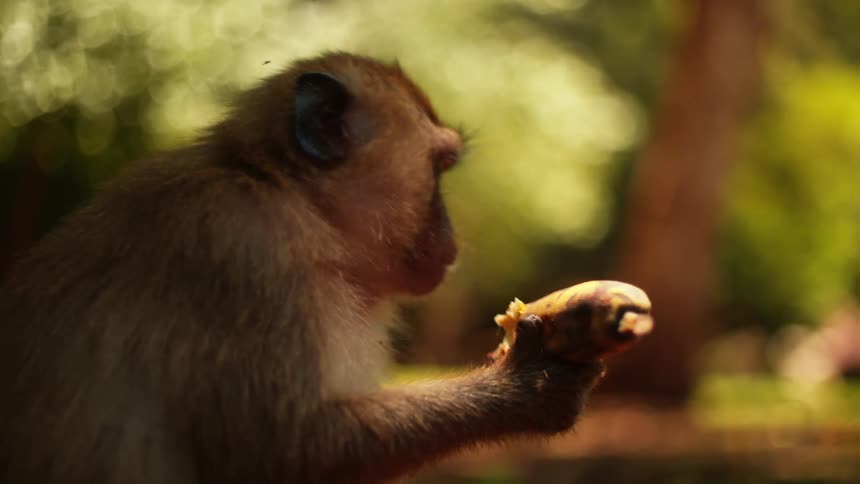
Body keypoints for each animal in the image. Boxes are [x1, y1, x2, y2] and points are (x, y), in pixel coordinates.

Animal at [0, 53, 605, 484]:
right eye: (437, 168)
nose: (453, 236)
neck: (294, 199)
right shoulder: (247, 253)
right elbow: (286, 450)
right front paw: (531, 385)